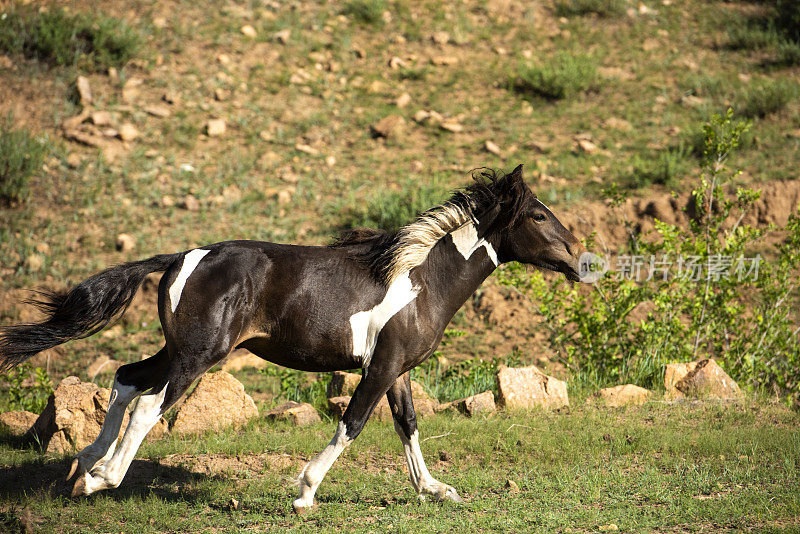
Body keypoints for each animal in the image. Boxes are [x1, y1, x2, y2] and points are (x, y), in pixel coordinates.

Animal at [0, 164, 580, 516]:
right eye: (537, 214)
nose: (578, 256)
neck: (420, 280)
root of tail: (183, 257)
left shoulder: (397, 369)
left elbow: (408, 424)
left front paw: (435, 489)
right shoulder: (379, 367)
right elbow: (353, 424)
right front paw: (305, 493)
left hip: (178, 350)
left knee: (124, 380)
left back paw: (84, 465)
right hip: (200, 355)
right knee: (147, 405)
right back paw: (102, 477)